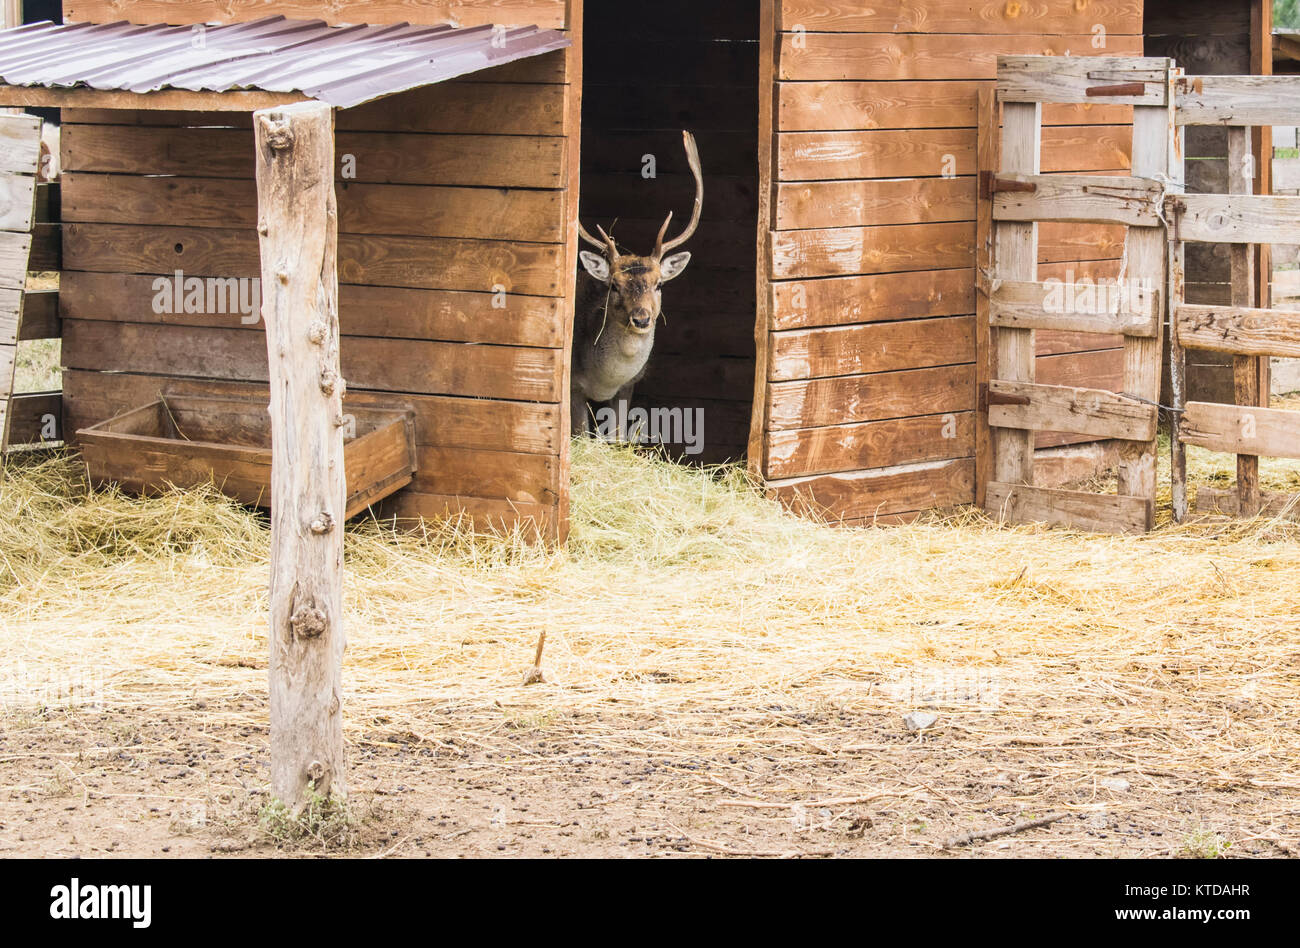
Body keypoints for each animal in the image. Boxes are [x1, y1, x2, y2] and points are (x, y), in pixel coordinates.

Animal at [572, 127, 707, 436]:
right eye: (614, 285)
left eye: (659, 284)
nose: (642, 318)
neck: (603, 381)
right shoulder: (573, 386)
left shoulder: (629, 386)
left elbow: (619, 437)